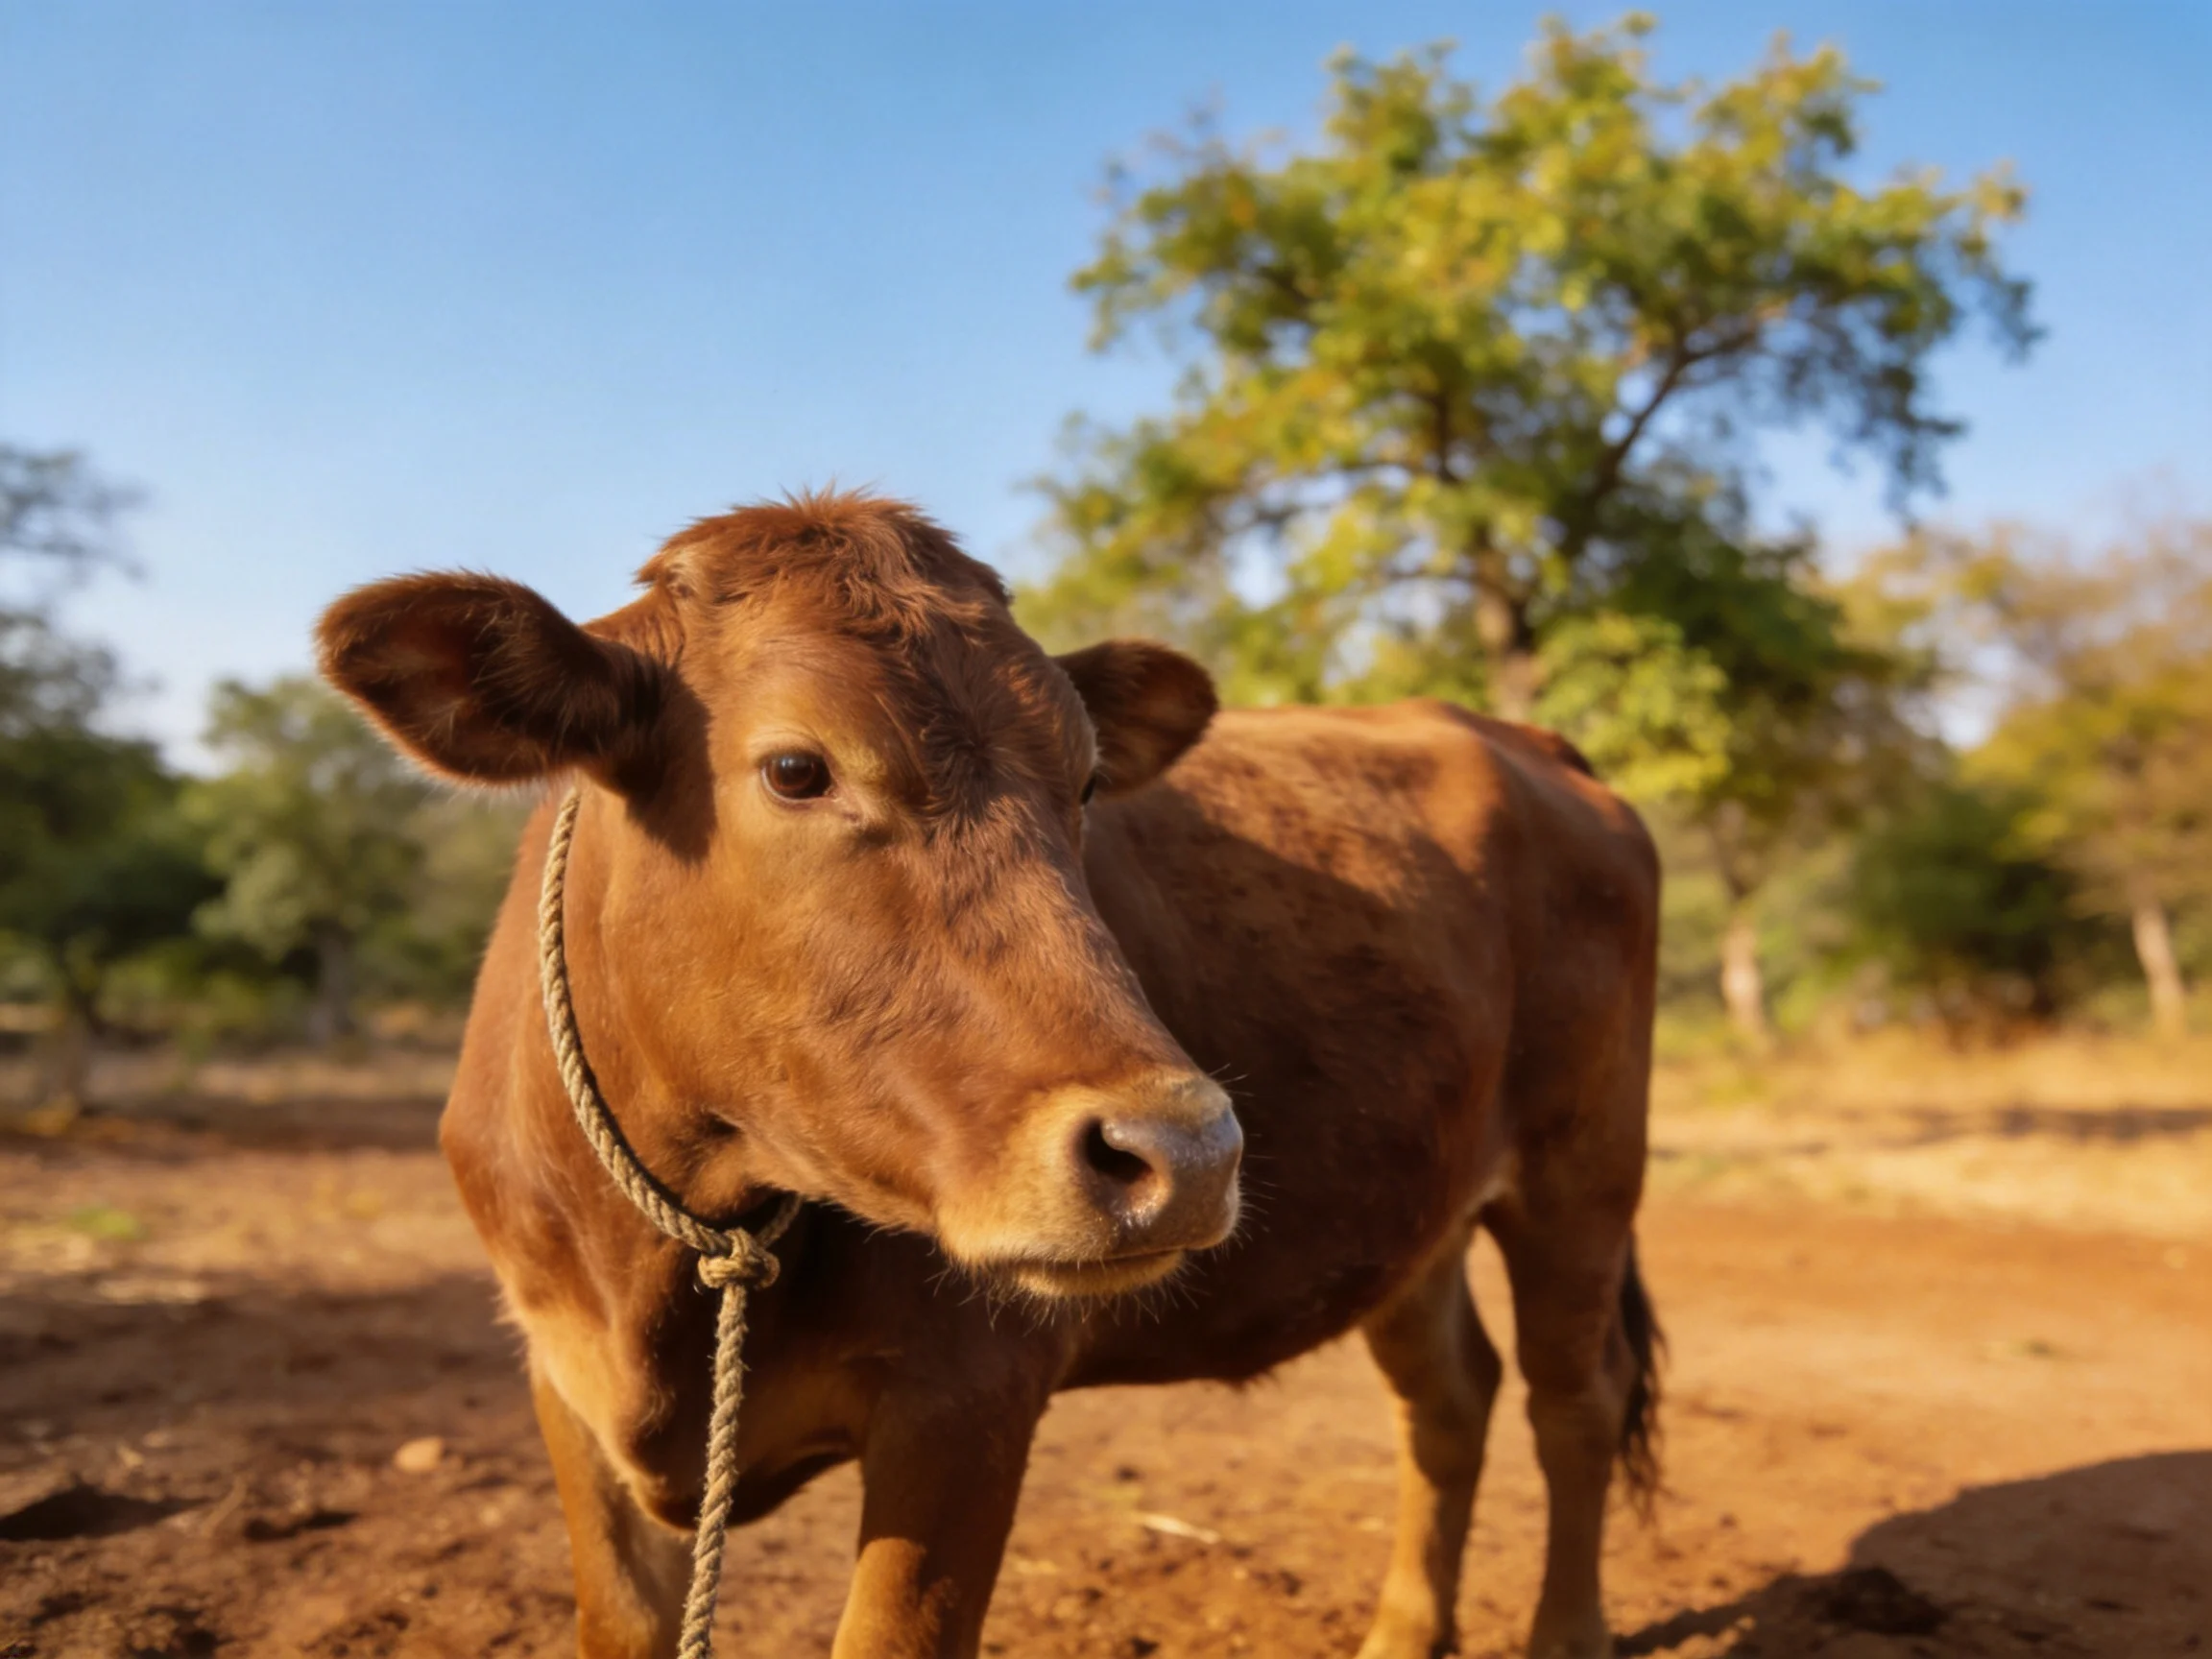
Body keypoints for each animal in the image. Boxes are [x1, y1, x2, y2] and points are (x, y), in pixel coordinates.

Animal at [316, 492, 1661, 1659]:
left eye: (1084, 780)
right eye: (796, 769)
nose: (1184, 1154)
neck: (671, 1248)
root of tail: (1511, 735)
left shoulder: (967, 1402)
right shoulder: (564, 1386)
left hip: (1585, 1169)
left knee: (1573, 1399)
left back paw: (1566, 1633)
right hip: (1416, 1215)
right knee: (1448, 1400)